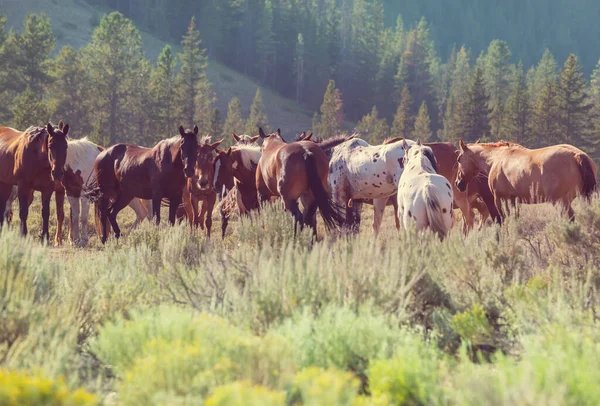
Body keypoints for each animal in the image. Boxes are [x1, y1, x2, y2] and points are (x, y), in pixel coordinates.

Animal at [454, 140, 596, 222]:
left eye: (459, 159)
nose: (457, 183)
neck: (496, 158)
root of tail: (576, 155)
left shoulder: (500, 199)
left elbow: (503, 220)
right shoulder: (514, 201)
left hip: (561, 201)